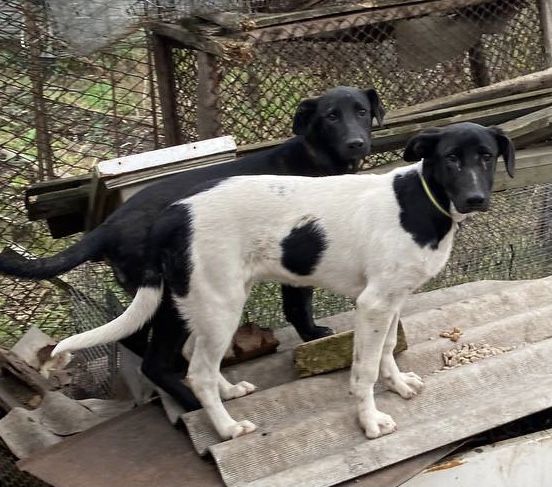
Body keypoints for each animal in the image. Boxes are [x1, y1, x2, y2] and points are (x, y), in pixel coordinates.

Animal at [0, 86, 386, 408]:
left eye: (362, 111)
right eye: (330, 116)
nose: (356, 143)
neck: (315, 157)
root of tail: (108, 226)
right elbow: (298, 304)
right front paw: (313, 335)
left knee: (133, 338)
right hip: (173, 297)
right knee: (152, 358)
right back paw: (191, 400)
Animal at [50, 123, 512, 442]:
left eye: (486, 156)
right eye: (451, 159)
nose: (475, 199)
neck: (421, 202)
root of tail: (173, 213)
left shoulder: (392, 301)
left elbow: (385, 354)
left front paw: (397, 386)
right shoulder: (373, 304)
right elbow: (363, 369)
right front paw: (370, 422)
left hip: (204, 300)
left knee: (194, 354)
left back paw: (229, 392)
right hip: (220, 304)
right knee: (197, 371)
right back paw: (227, 428)